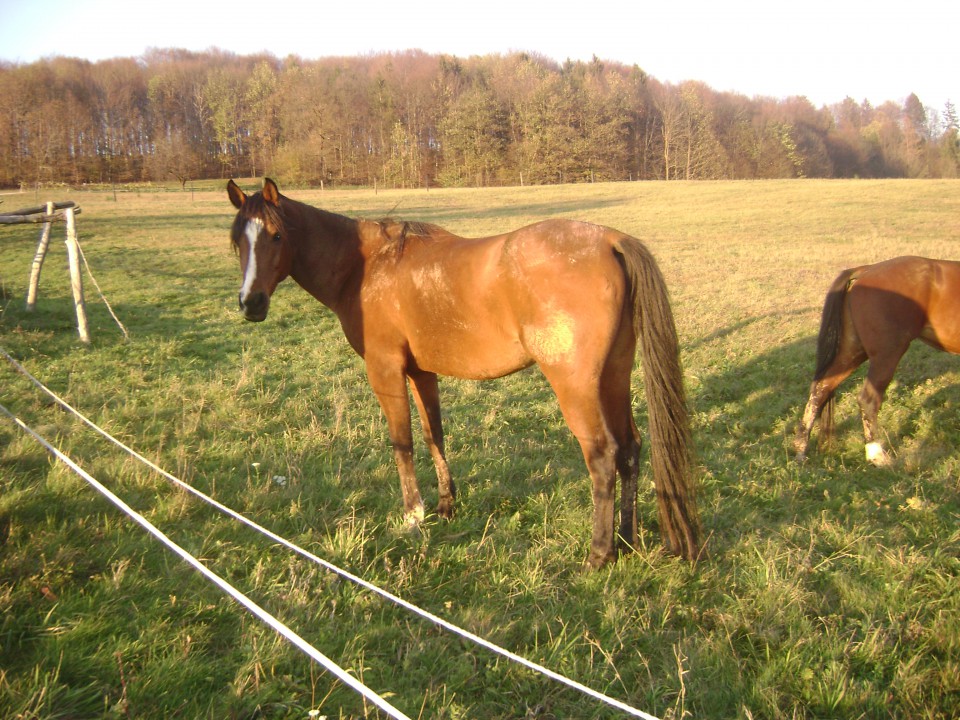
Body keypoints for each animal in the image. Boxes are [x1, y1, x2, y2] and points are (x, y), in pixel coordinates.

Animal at [229, 180, 700, 568]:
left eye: (276, 235)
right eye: (237, 242)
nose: (251, 303)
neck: (365, 267)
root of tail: (609, 240)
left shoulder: (385, 370)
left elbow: (402, 442)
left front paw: (412, 516)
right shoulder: (422, 373)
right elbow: (433, 434)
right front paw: (445, 506)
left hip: (576, 385)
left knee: (602, 456)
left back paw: (599, 554)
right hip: (614, 376)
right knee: (630, 449)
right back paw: (627, 539)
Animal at [796, 256, 960, 464]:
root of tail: (865, 270)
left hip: (852, 351)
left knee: (821, 388)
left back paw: (800, 449)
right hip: (886, 355)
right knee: (867, 401)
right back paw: (877, 455)